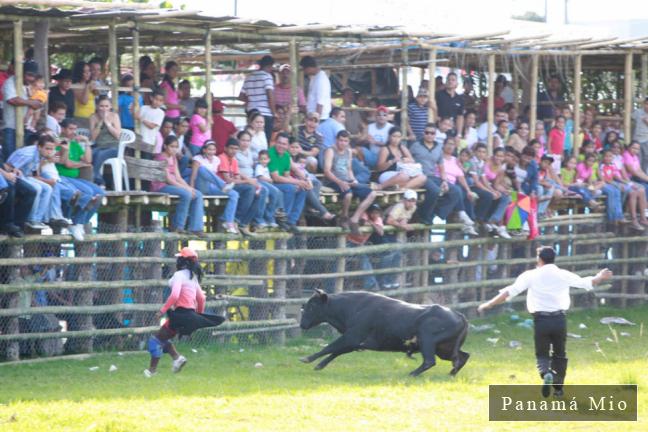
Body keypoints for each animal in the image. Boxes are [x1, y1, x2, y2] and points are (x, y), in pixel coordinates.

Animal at [298, 290, 470, 378]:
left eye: (312, 306)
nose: (302, 324)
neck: (352, 307)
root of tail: (459, 315)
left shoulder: (352, 336)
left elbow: (330, 347)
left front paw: (307, 359)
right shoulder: (355, 343)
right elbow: (336, 351)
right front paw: (319, 365)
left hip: (427, 340)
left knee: (430, 361)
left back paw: (412, 374)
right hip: (444, 349)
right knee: (462, 356)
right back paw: (452, 373)